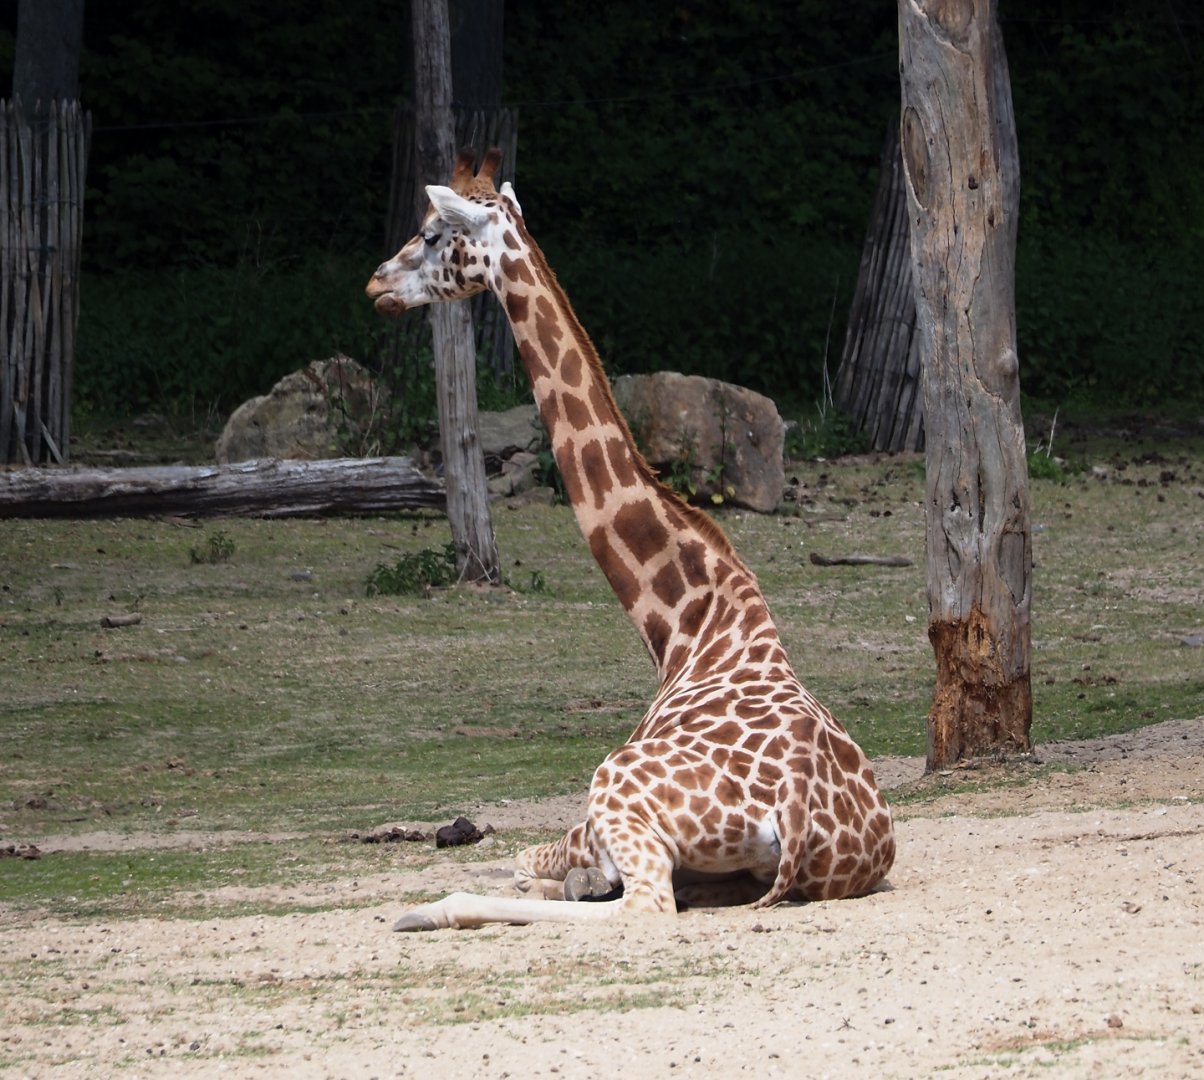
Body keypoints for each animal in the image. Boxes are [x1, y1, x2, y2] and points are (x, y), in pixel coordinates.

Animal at [365, 149, 895, 931]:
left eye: (432, 233)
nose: (375, 284)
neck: (686, 626)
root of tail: (796, 813)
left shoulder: (586, 823)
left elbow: (522, 863)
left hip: (612, 780)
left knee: (643, 906)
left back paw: (430, 910)